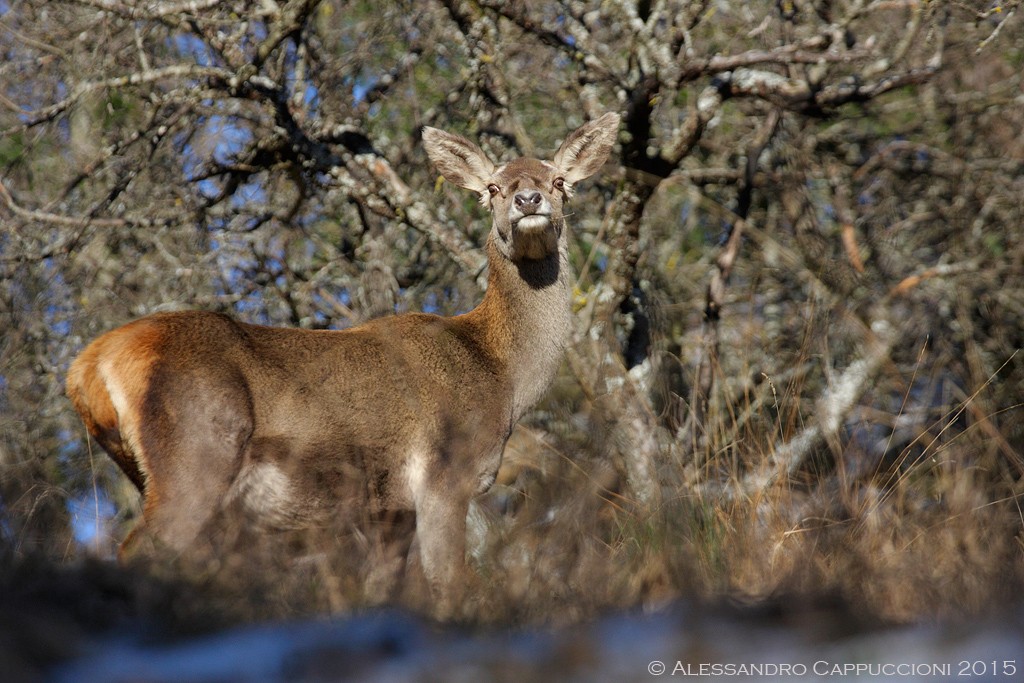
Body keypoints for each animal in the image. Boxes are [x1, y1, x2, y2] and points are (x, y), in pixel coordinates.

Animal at [68, 113, 618, 614]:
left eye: (559, 180)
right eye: (493, 188)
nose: (529, 200)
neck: (499, 374)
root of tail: (88, 365)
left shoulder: (390, 509)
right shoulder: (443, 474)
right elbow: (448, 585)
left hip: (145, 470)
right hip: (196, 448)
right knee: (140, 549)